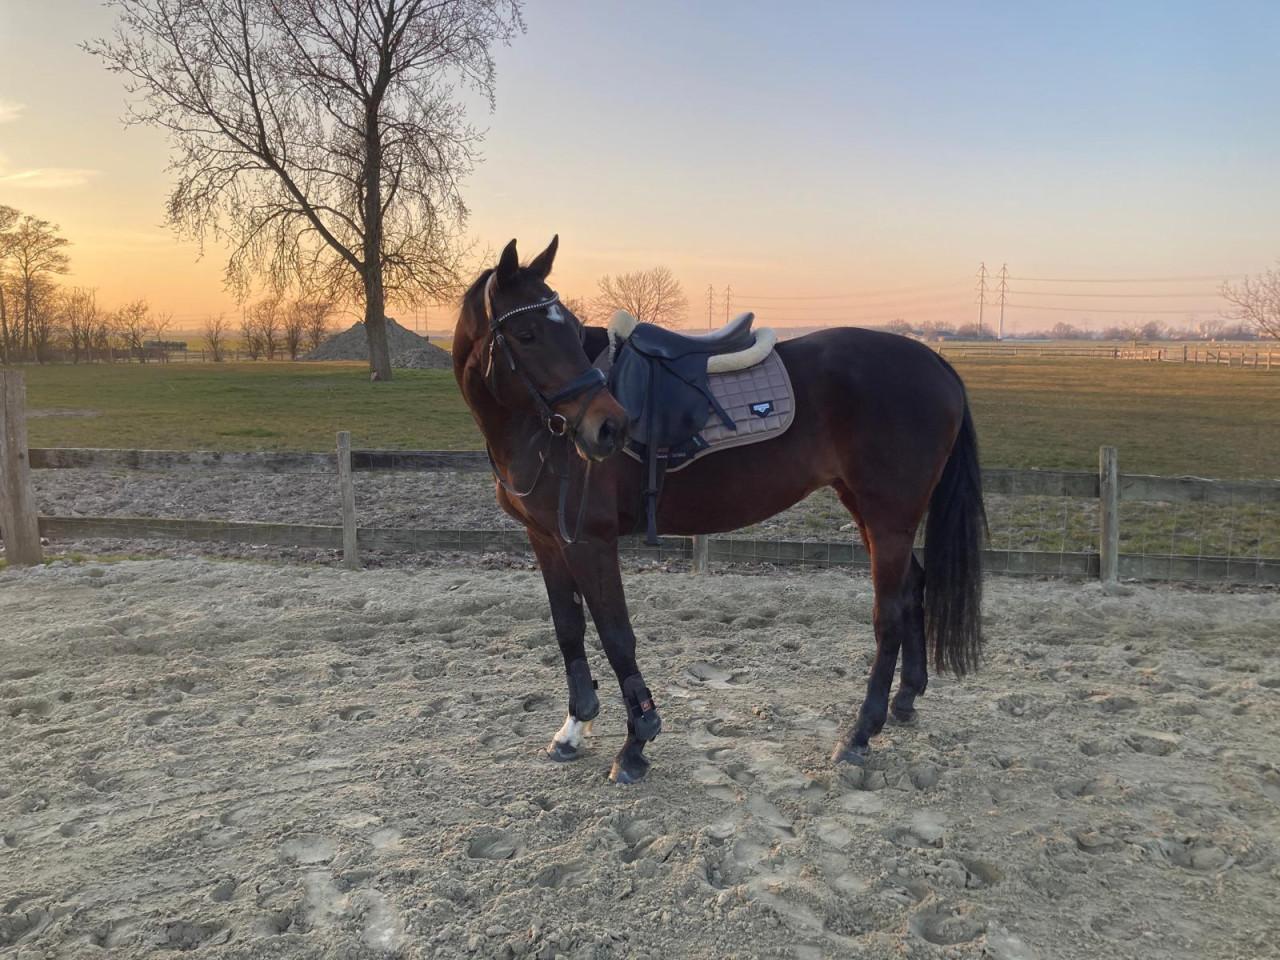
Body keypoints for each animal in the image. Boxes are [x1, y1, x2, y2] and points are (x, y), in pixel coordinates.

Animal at [452, 236, 986, 784]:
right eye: (527, 333)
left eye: (573, 330)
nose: (610, 427)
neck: (537, 431)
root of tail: (935, 363)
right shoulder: (547, 540)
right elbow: (568, 630)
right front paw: (574, 728)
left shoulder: (590, 542)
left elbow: (616, 636)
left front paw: (637, 742)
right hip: (869, 512)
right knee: (914, 588)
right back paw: (905, 700)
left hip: (888, 518)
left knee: (889, 614)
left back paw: (861, 732)